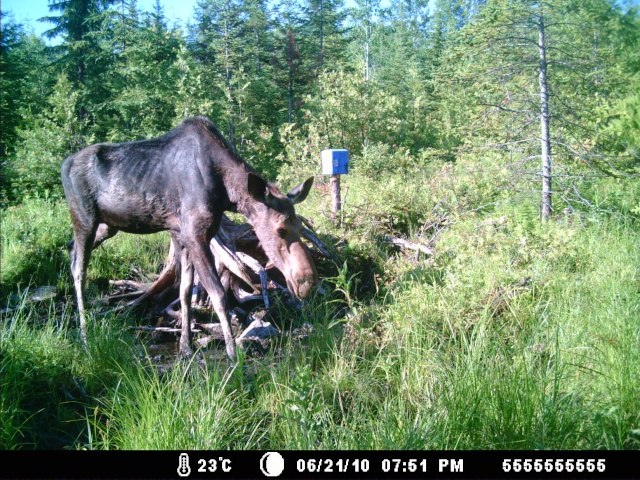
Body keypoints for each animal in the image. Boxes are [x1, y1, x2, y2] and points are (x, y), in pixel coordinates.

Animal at [62, 118, 318, 362]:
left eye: (300, 225)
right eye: (280, 229)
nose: (307, 282)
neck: (226, 194)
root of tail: (64, 164)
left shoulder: (180, 234)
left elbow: (185, 291)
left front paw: (186, 346)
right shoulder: (196, 235)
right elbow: (217, 293)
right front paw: (232, 352)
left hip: (108, 225)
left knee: (71, 249)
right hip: (84, 218)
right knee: (80, 269)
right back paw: (84, 334)